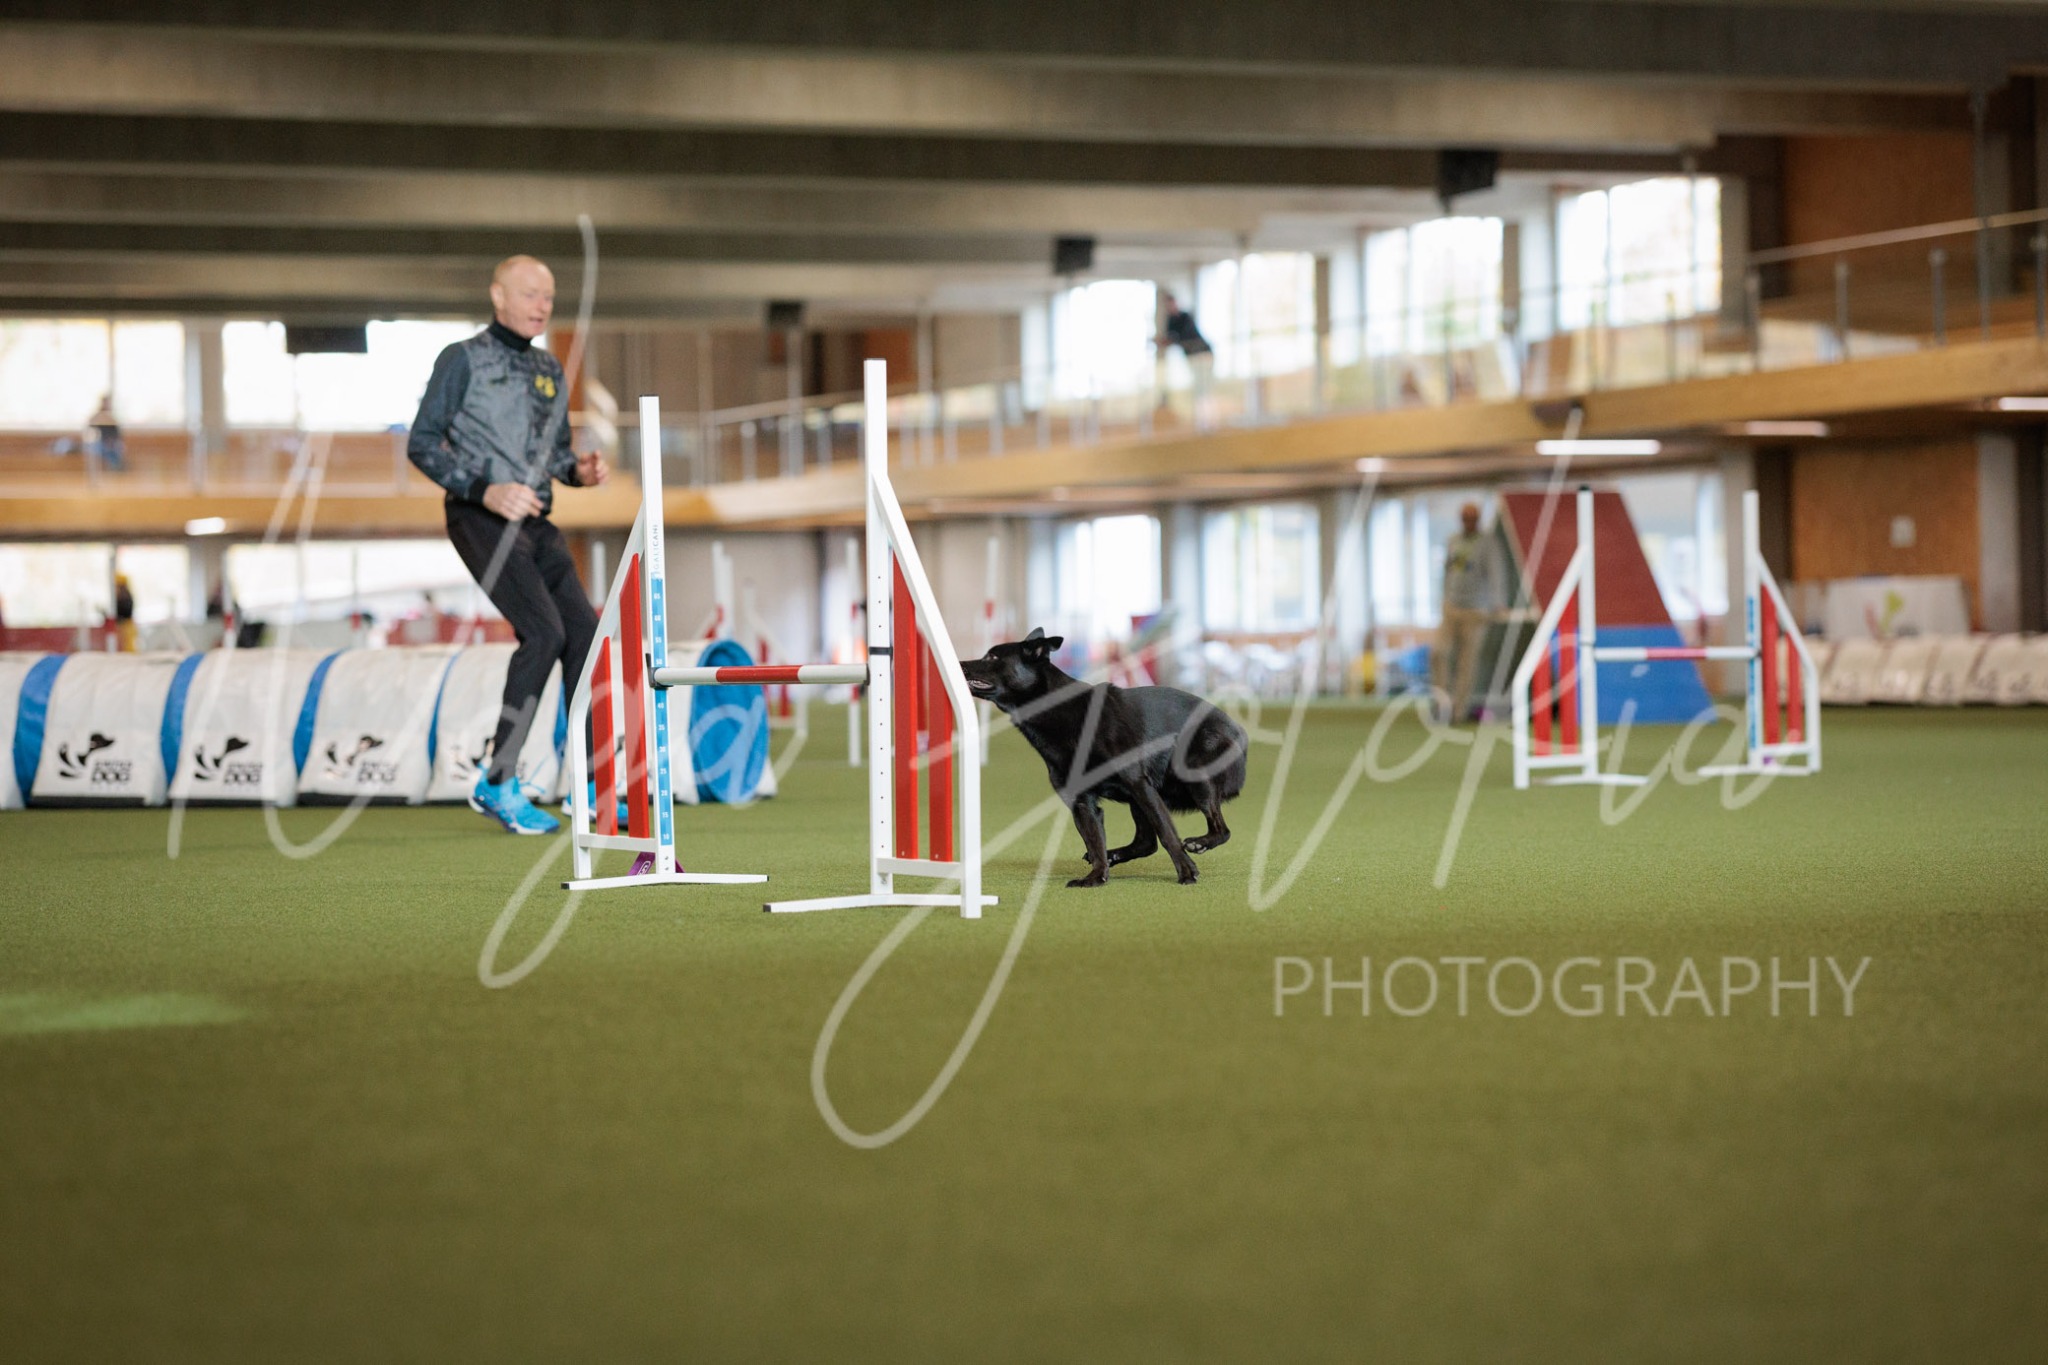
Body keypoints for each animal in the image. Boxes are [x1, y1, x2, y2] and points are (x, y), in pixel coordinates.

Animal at [961, 629, 1247, 888]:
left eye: (992, 657)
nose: (961, 663)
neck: (1061, 713)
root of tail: (1238, 731)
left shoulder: (1138, 784)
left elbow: (1167, 833)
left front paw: (1187, 871)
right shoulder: (1082, 801)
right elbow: (1094, 840)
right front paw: (1096, 877)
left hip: (1193, 774)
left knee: (1221, 830)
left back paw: (1199, 843)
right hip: (1142, 797)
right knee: (1145, 842)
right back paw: (1114, 856)